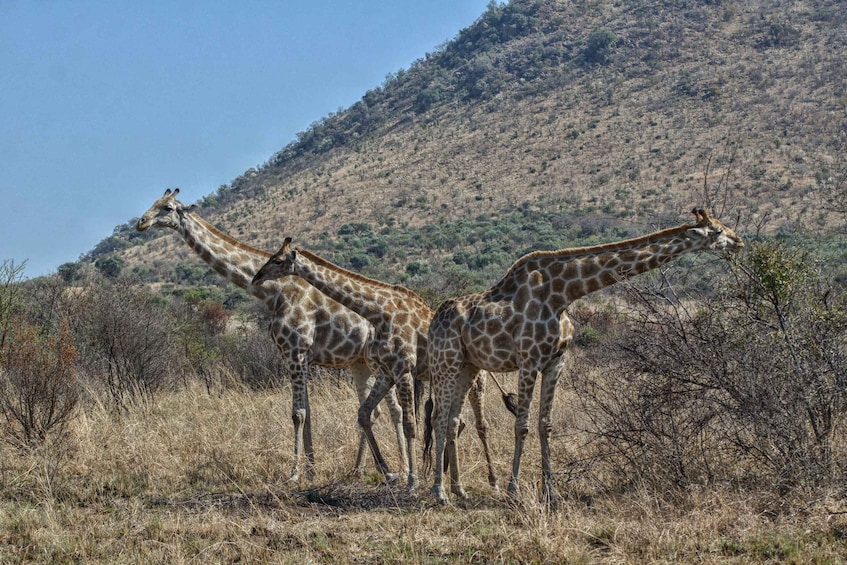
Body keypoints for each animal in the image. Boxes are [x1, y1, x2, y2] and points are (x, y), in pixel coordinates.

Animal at [135, 188, 408, 480]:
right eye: (154, 202)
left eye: (168, 207)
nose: (141, 222)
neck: (271, 293)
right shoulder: (298, 356)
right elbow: (308, 412)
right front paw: (311, 471)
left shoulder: (295, 351)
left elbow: (298, 413)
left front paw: (294, 473)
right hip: (359, 363)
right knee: (373, 411)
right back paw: (358, 469)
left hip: (379, 362)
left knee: (395, 409)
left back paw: (401, 469)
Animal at [252, 236, 504, 492]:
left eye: (278, 260)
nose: (256, 277)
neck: (379, 313)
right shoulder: (387, 372)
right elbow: (365, 413)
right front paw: (391, 472)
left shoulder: (404, 370)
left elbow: (409, 424)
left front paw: (411, 482)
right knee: (456, 422)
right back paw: (450, 478)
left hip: (476, 382)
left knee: (480, 425)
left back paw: (492, 482)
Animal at [428, 207, 744, 502]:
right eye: (717, 230)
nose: (739, 241)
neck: (562, 293)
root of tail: (435, 319)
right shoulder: (529, 359)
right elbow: (521, 426)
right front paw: (513, 490)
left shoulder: (556, 361)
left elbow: (545, 425)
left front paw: (551, 492)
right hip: (445, 362)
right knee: (439, 418)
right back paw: (439, 492)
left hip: (468, 366)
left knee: (453, 421)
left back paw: (459, 490)